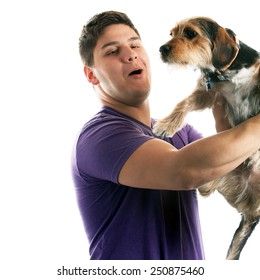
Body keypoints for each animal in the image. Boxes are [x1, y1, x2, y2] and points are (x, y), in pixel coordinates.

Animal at [154, 16, 260, 260]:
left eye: (191, 33)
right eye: (172, 33)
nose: (162, 49)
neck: (226, 73)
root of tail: (251, 211)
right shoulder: (208, 93)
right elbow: (183, 103)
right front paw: (166, 125)